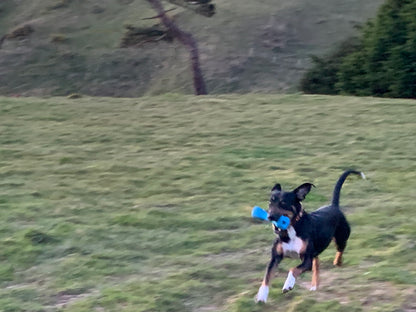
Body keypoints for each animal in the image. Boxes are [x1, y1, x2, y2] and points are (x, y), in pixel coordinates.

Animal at [255, 168, 366, 302]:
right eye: (270, 202)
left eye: (283, 203)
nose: (270, 216)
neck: (291, 230)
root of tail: (334, 206)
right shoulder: (275, 258)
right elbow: (267, 277)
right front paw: (262, 296)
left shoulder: (306, 259)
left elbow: (293, 269)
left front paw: (288, 285)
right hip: (316, 251)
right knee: (317, 264)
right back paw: (314, 286)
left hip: (341, 238)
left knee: (340, 250)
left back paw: (337, 262)